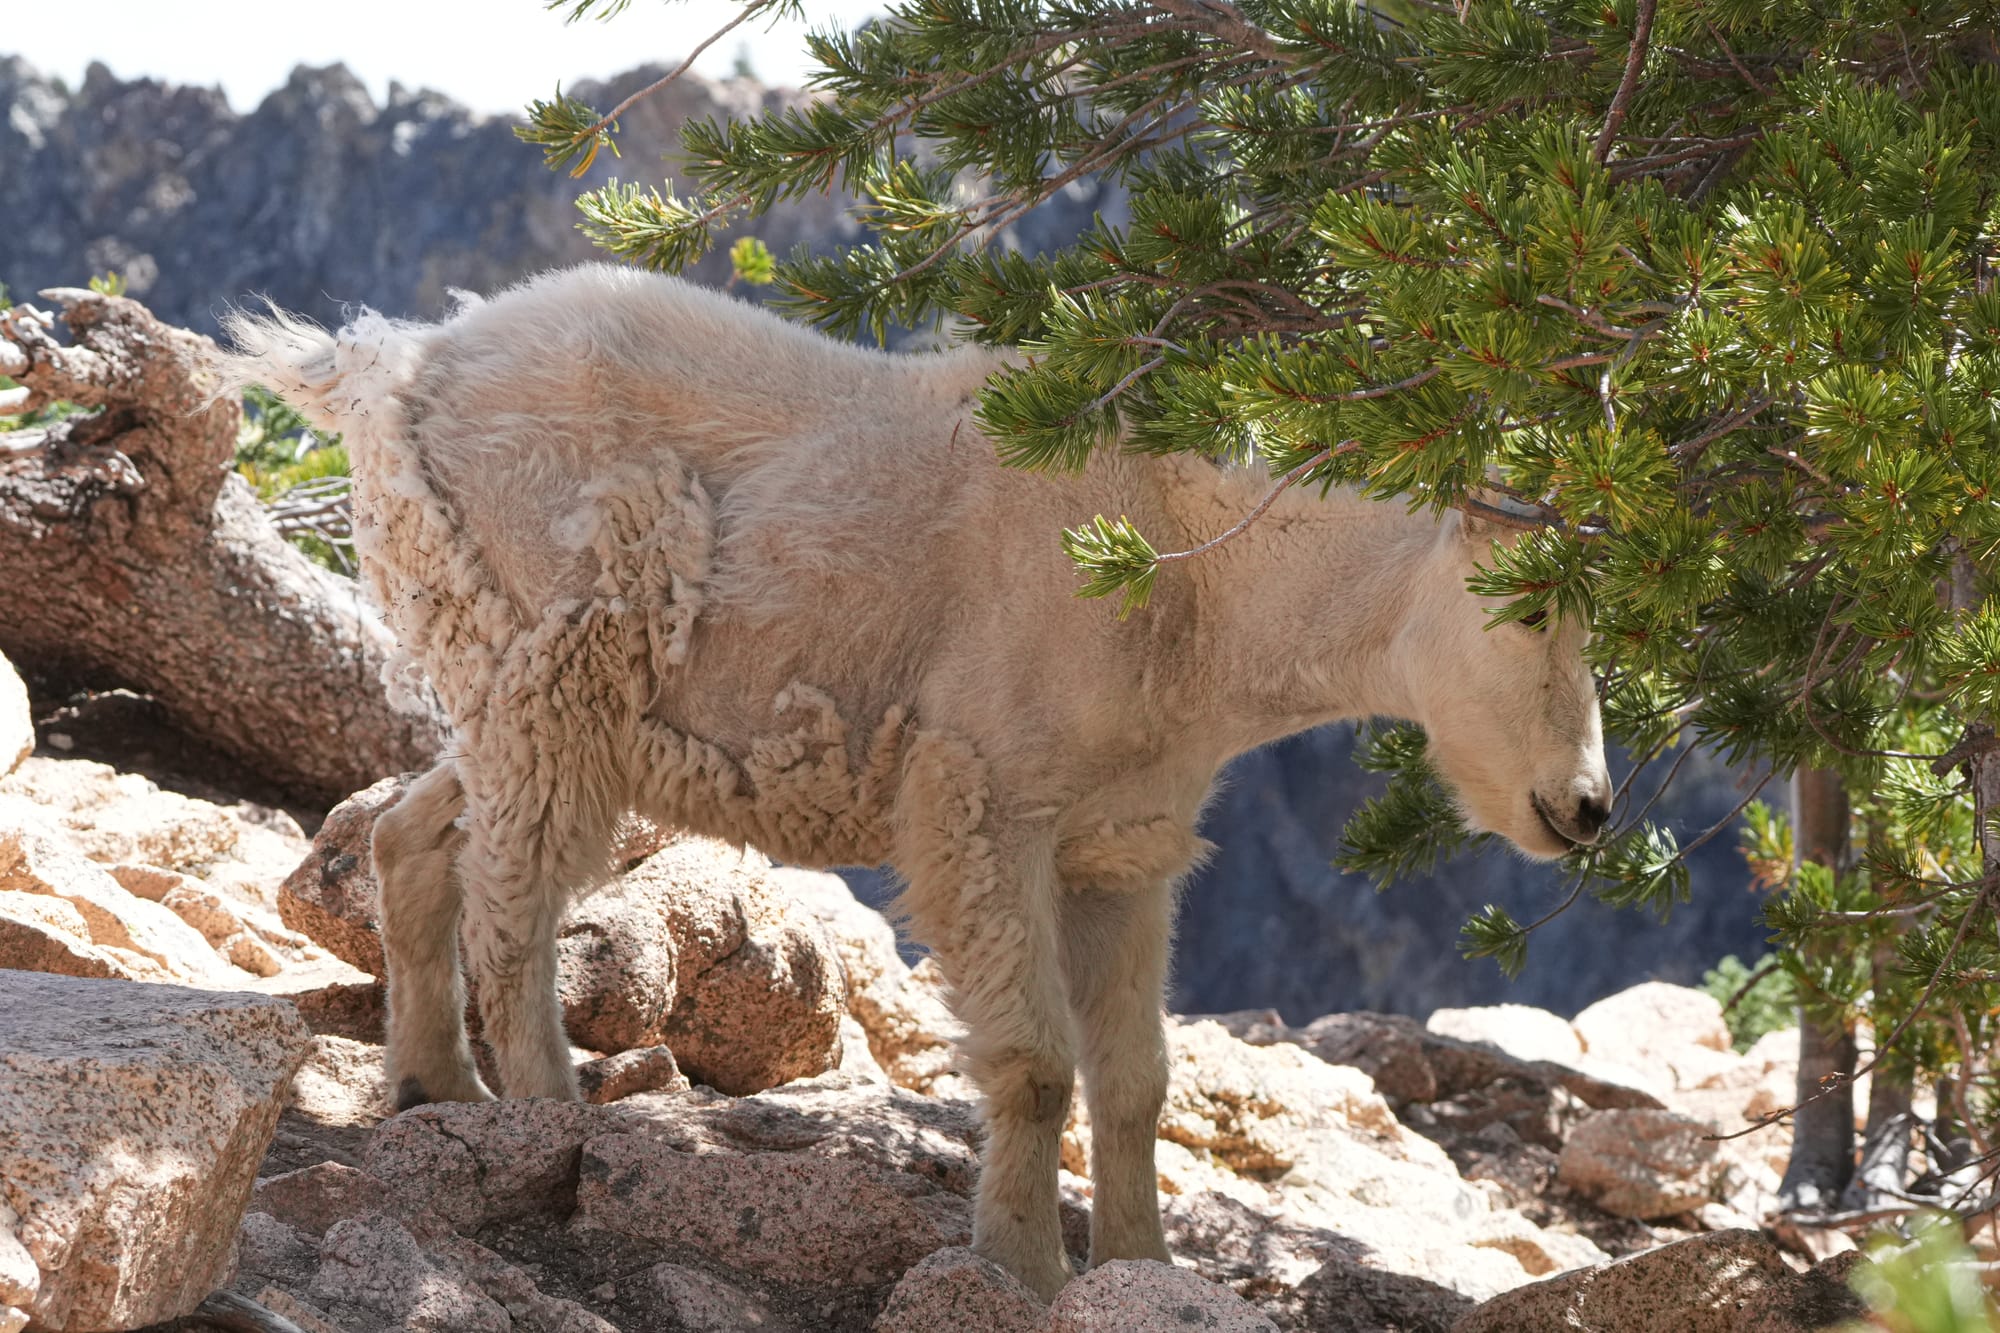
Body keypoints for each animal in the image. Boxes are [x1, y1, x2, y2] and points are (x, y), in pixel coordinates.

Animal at [219, 264, 1612, 1301]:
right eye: (1523, 604)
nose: (1587, 805)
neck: (1197, 585)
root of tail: (388, 368)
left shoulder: (1123, 844)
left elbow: (1135, 1077)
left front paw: (1144, 1267)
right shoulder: (983, 799)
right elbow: (1037, 1061)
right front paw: (1021, 1268)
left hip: (506, 674)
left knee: (419, 831)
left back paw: (432, 1086)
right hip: (561, 645)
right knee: (516, 894)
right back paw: (549, 1117)